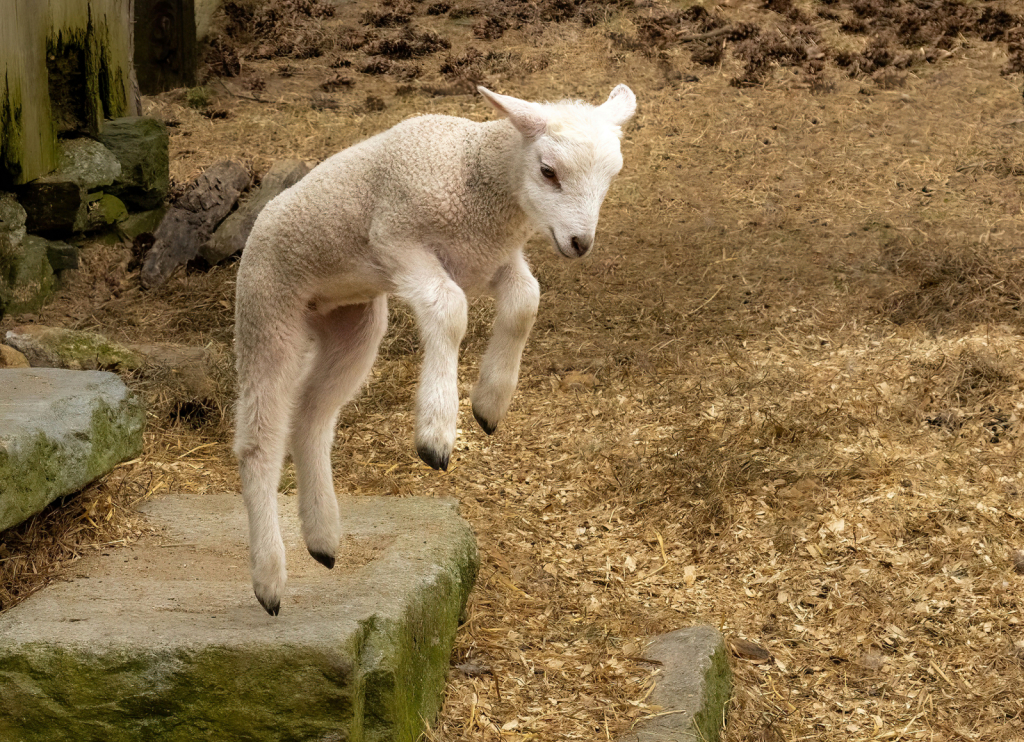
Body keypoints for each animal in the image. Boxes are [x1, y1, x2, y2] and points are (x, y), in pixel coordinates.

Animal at [234, 83, 630, 614]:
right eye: (548, 171)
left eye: (611, 176)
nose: (579, 242)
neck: (476, 179)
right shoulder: (398, 241)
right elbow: (450, 309)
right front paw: (438, 431)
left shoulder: (485, 258)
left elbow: (526, 300)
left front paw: (489, 403)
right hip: (267, 309)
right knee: (259, 440)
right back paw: (269, 578)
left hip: (353, 319)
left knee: (312, 415)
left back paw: (322, 537)